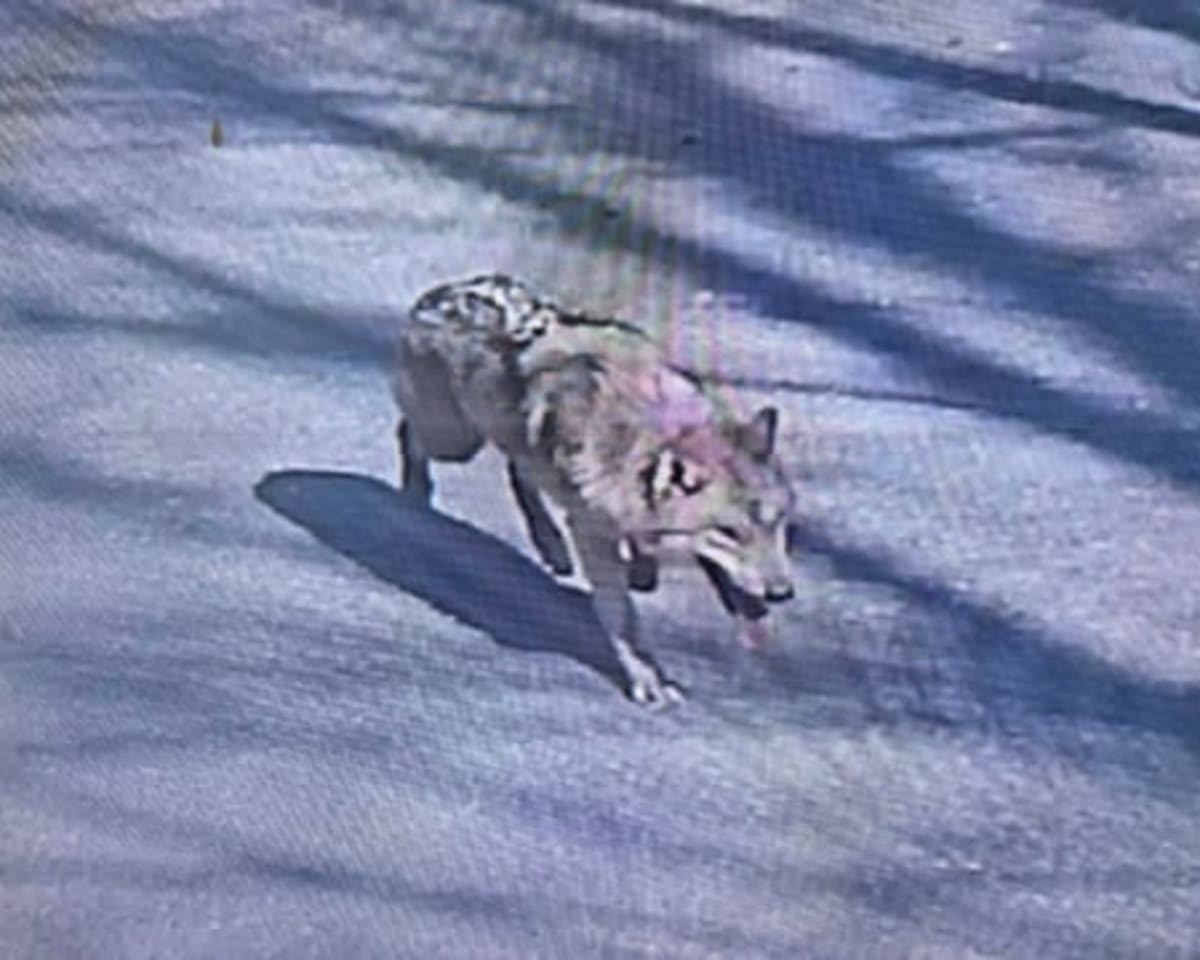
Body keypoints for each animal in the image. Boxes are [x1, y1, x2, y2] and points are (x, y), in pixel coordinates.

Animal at [391, 274, 796, 707]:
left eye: (777, 524)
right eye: (729, 533)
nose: (782, 593)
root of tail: (441, 292)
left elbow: (640, 561)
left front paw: (642, 568)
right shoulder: (592, 533)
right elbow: (623, 618)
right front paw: (648, 679)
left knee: (519, 471)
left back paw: (551, 546)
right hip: (455, 442)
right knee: (410, 434)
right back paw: (415, 496)